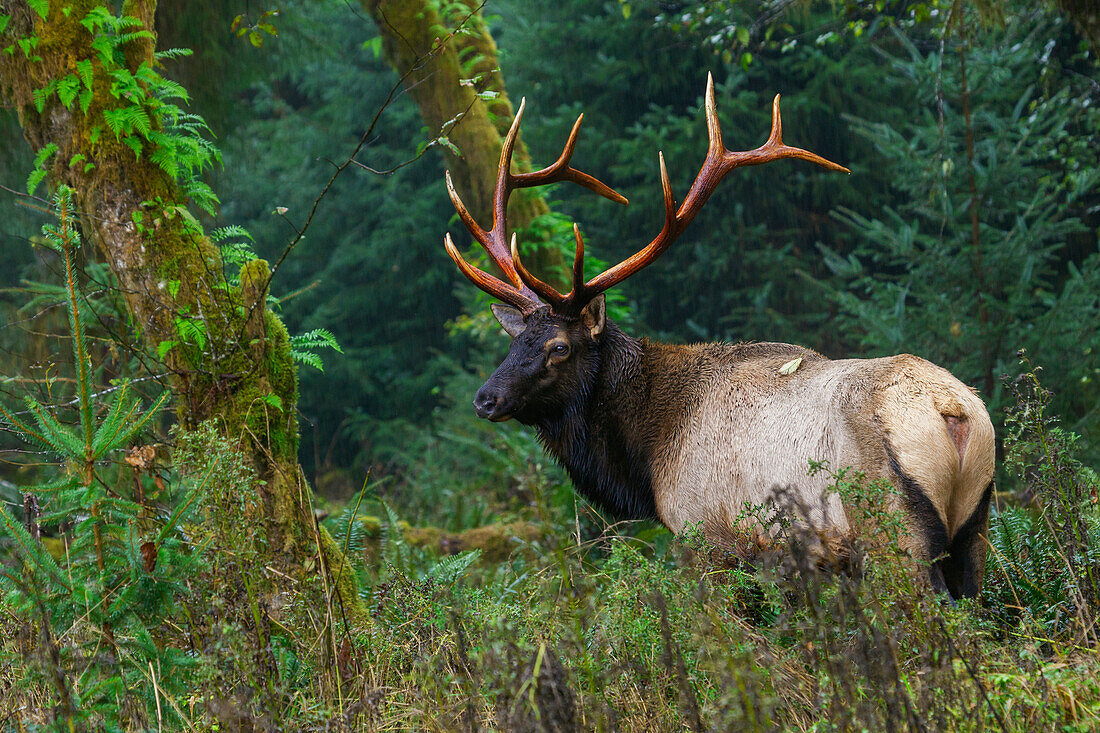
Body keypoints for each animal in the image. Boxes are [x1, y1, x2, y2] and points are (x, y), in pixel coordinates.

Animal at [440, 77, 998, 598]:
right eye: (514, 343)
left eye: (559, 347)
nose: (485, 399)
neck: (648, 457)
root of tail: (953, 411)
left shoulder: (710, 538)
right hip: (975, 526)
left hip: (895, 529)